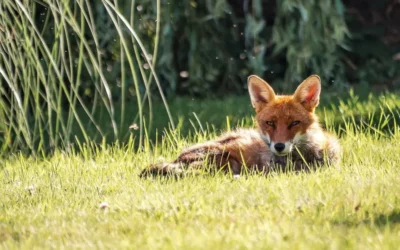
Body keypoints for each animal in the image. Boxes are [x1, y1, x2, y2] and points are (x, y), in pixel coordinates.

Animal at [141, 75, 340, 177]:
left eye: (294, 123)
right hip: (225, 159)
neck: (302, 159)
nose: (279, 146)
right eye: (270, 123)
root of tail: (177, 158)